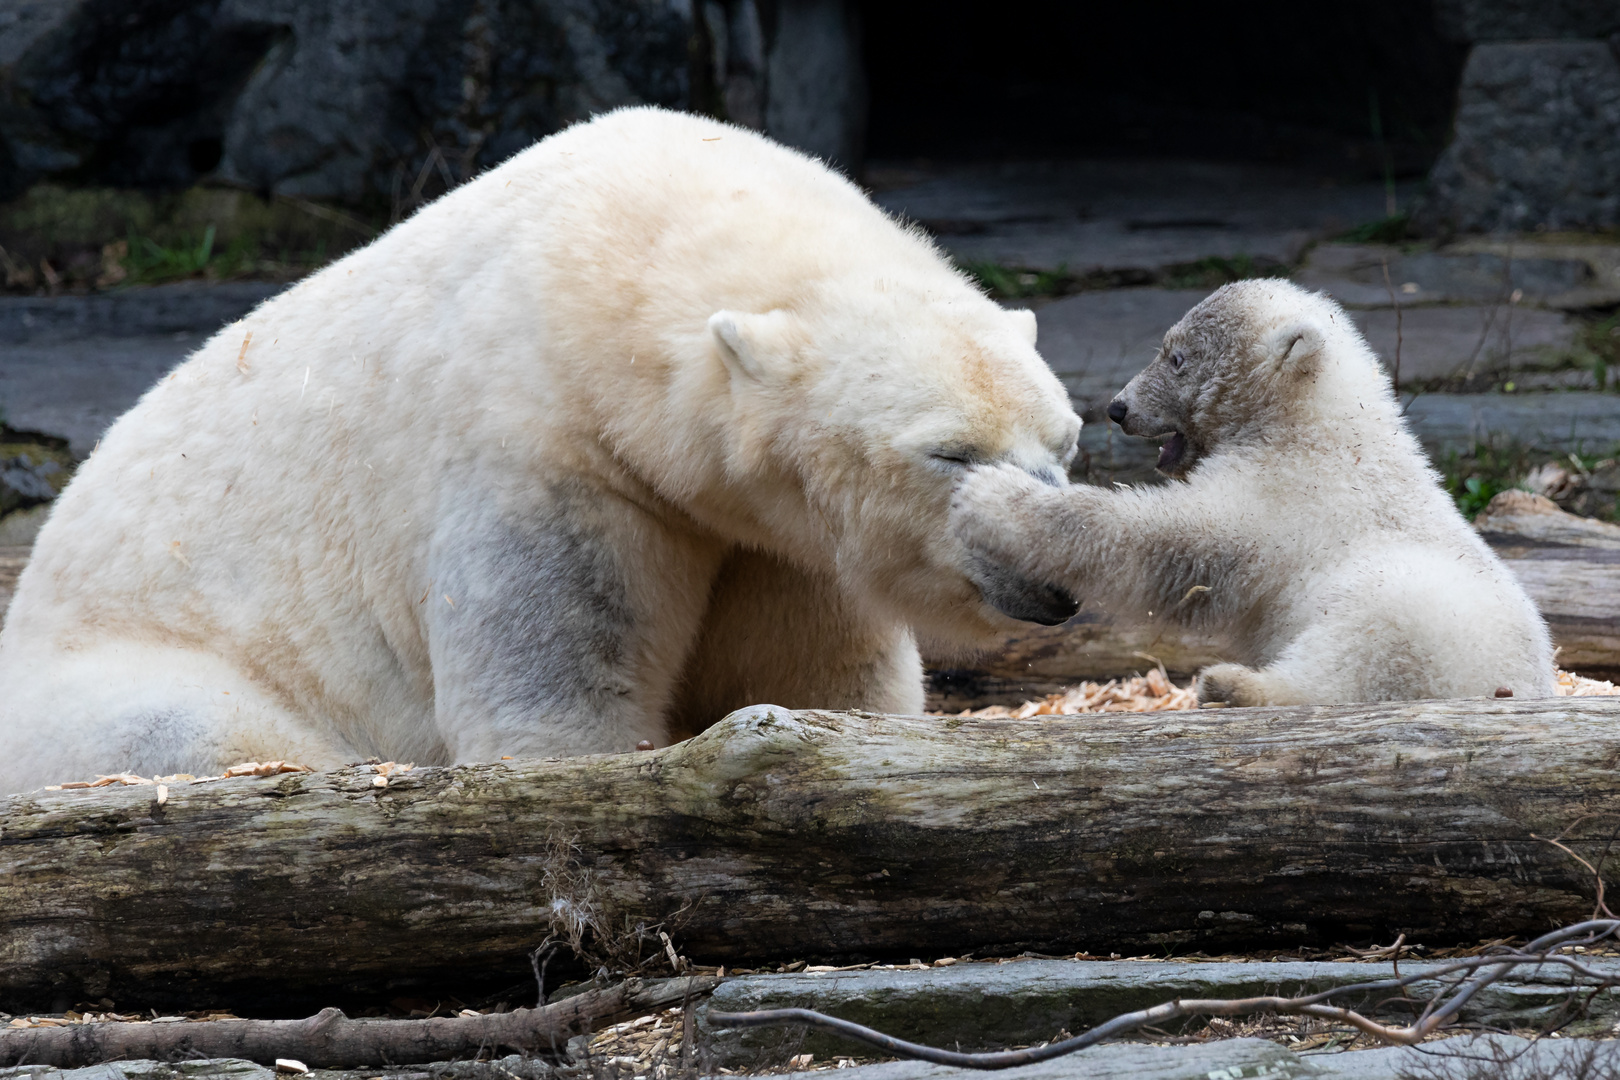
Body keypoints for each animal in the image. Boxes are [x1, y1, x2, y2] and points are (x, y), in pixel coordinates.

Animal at [6, 107, 1088, 793]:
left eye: (1065, 440)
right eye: (951, 451)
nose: (1056, 569)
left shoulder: (772, 537)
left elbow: (811, 671)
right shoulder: (544, 453)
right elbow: (559, 665)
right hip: (118, 681)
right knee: (190, 727)